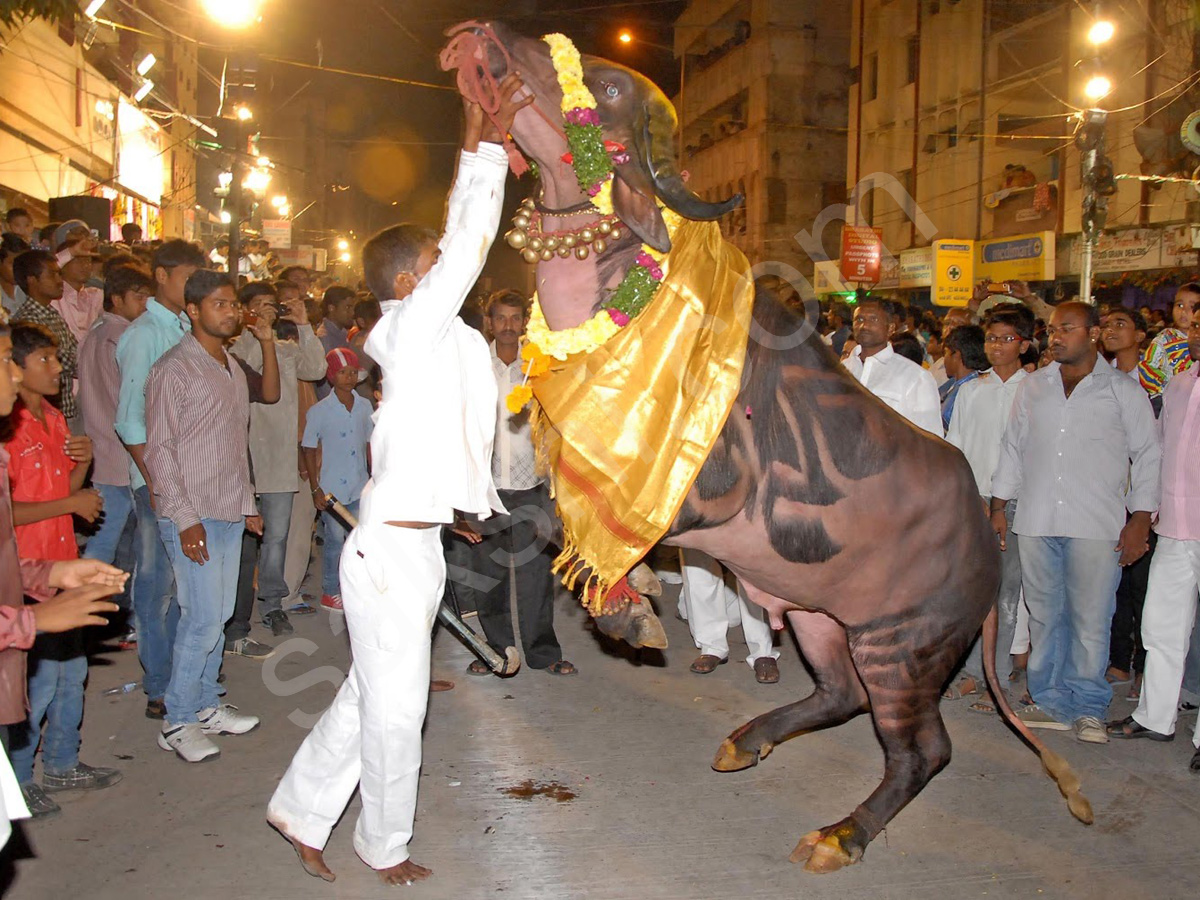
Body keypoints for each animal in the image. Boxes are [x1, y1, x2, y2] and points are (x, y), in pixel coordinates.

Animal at [444, 21, 1099, 878]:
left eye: (610, 87)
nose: (484, 36)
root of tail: (990, 552)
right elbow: (558, 517)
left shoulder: (701, 489)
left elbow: (566, 521)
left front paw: (631, 608)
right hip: (821, 618)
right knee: (841, 695)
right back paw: (745, 740)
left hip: (904, 645)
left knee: (922, 749)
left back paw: (840, 834)